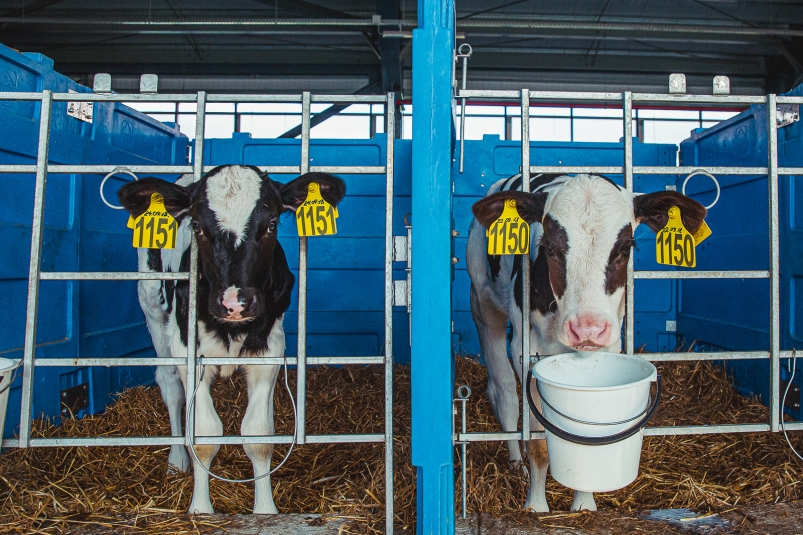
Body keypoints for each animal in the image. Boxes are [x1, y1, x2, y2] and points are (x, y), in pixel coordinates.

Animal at [118, 164, 346, 516]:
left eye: (271, 224)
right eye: (197, 225)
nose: (234, 303)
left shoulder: (269, 349)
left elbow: (258, 435)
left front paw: (265, 511)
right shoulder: (187, 348)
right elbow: (204, 434)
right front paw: (200, 509)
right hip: (152, 305)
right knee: (169, 385)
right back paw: (176, 461)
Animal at [468, 174, 708, 512]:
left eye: (626, 247)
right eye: (549, 247)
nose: (587, 328)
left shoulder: (608, 348)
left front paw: (584, 504)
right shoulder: (526, 352)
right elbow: (539, 444)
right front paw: (537, 507)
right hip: (482, 304)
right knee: (502, 393)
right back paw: (515, 463)